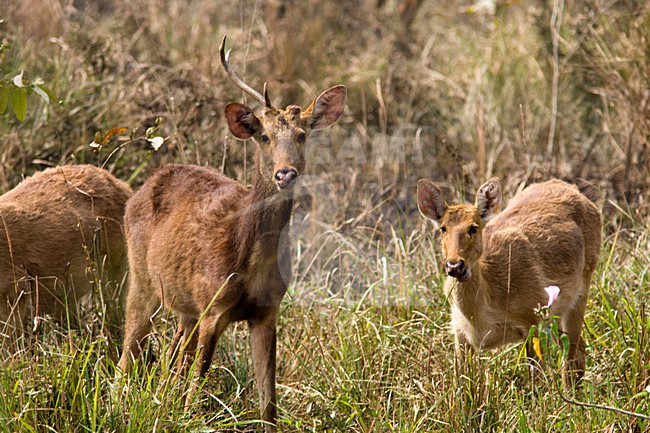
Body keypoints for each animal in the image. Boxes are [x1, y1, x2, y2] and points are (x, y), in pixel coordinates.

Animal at [117, 35, 346, 432]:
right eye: (264, 136)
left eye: (302, 135)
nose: (286, 173)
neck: (249, 260)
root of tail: (143, 186)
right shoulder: (213, 305)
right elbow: (196, 391)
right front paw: (188, 418)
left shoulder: (267, 310)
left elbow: (268, 403)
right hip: (142, 278)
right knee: (127, 354)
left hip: (184, 306)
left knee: (173, 356)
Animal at [416, 177, 601, 386]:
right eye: (443, 229)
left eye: (473, 227)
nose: (455, 266)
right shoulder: (459, 331)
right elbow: (460, 383)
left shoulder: (533, 319)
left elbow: (536, 382)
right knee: (578, 347)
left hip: (582, 287)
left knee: (571, 354)